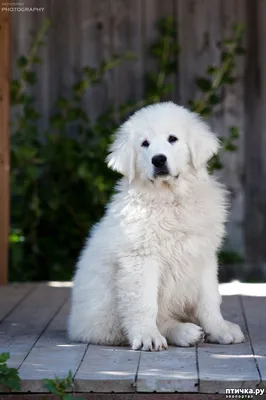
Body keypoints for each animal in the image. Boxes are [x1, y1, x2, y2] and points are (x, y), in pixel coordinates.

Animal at [67, 102, 244, 350]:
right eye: (145, 144)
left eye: (173, 139)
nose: (158, 160)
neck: (170, 200)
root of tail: (75, 326)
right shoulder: (141, 260)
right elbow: (145, 304)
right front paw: (147, 336)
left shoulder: (202, 256)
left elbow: (209, 300)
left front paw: (219, 330)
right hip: (106, 318)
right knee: (157, 320)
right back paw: (184, 332)